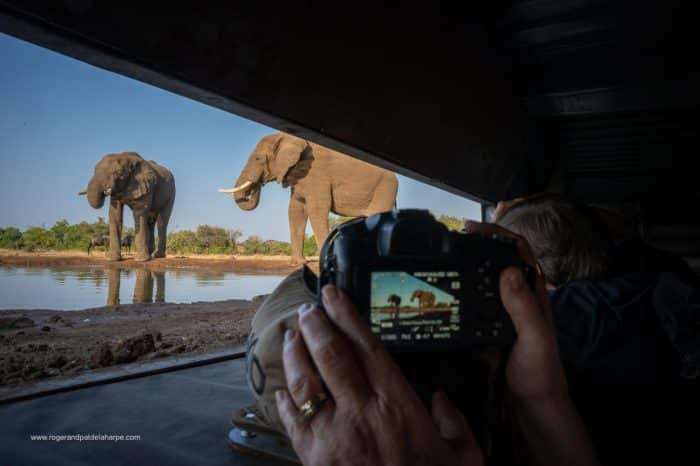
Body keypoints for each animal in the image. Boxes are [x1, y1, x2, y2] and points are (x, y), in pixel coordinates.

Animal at [221, 133, 396, 264]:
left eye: (258, 159)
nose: (258, 184)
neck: (288, 137)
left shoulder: (317, 173)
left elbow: (316, 209)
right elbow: (295, 210)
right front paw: (297, 263)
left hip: (385, 189)